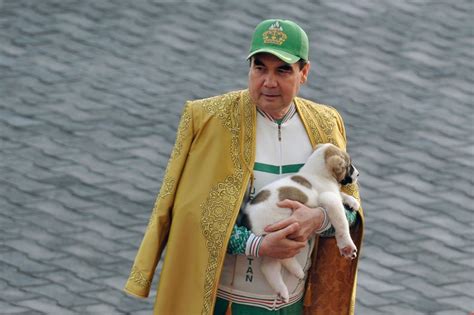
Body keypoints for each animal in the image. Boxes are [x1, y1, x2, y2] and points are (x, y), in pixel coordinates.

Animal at [241, 144, 360, 304]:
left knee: (269, 266)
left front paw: (352, 201)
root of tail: (246, 219)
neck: (316, 172)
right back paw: (296, 270)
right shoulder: (330, 199)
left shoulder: (333, 194)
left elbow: (341, 195)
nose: (358, 174)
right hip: (283, 227)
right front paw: (347, 246)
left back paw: (283, 288)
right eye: (348, 166)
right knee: (281, 257)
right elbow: (342, 223)